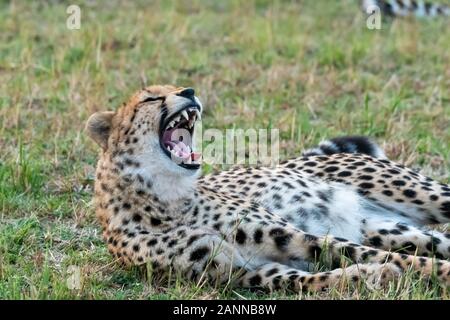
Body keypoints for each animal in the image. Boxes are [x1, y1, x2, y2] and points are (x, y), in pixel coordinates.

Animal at [85, 85, 450, 292]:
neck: (165, 198)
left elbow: (384, 257)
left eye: (176, 87)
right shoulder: (242, 273)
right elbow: (308, 281)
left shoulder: (293, 235)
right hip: (391, 229)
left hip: (422, 195)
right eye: (151, 97)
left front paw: (434, 273)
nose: (189, 91)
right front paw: (372, 276)